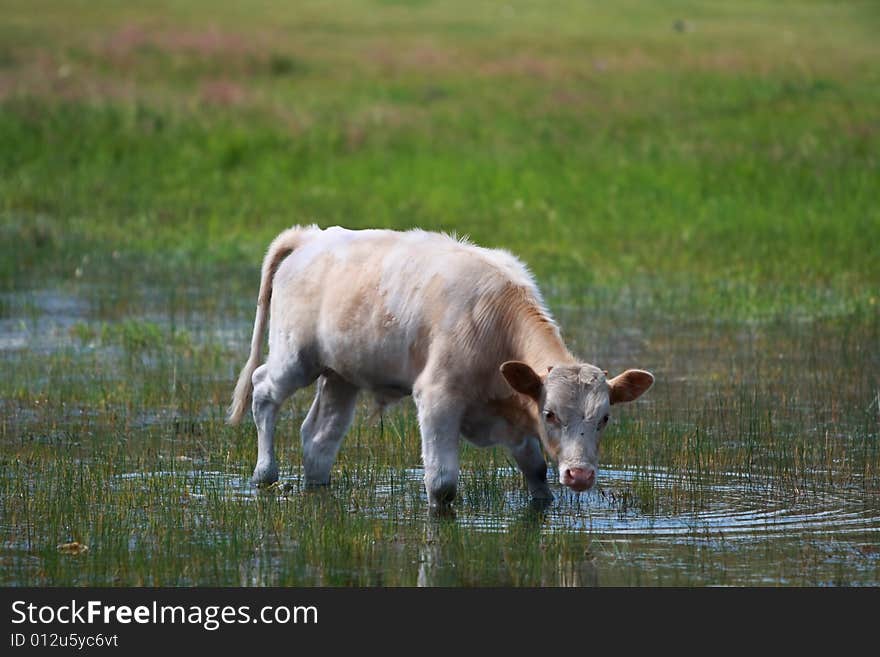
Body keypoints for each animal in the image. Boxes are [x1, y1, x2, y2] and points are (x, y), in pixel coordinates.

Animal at [227, 226, 652, 508]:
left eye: (604, 418)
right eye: (550, 414)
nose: (580, 475)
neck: (493, 323)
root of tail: (311, 237)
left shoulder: (513, 415)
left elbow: (537, 474)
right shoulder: (437, 400)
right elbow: (442, 484)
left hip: (341, 375)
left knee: (319, 438)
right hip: (295, 355)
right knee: (263, 390)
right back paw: (265, 473)